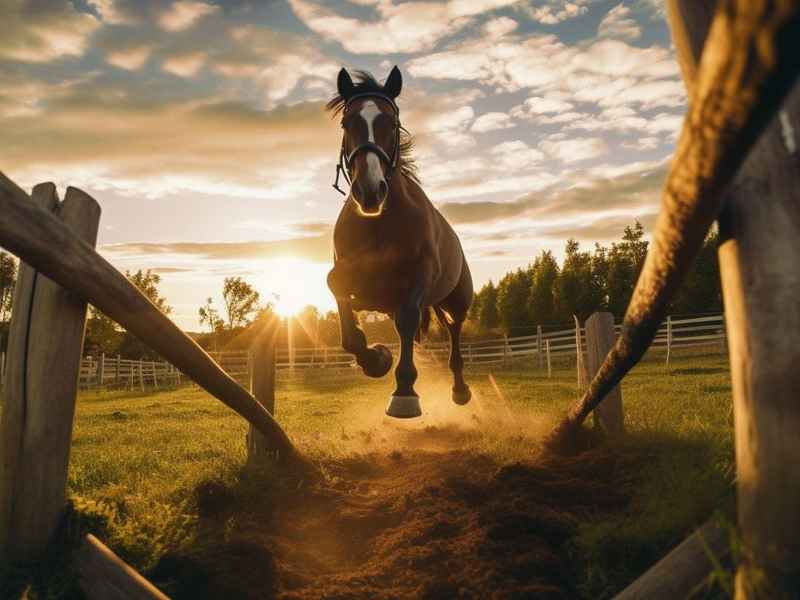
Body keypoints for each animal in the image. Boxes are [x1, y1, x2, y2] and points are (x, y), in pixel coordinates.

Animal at [325, 66, 473, 418]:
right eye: (347, 123)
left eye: (391, 123)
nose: (369, 191)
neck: (380, 224)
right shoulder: (347, 273)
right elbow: (339, 296)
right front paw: (376, 359)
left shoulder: (419, 275)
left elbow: (407, 320)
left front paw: (404, 391)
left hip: (456, 300)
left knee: (454, 329)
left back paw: (460, 390)